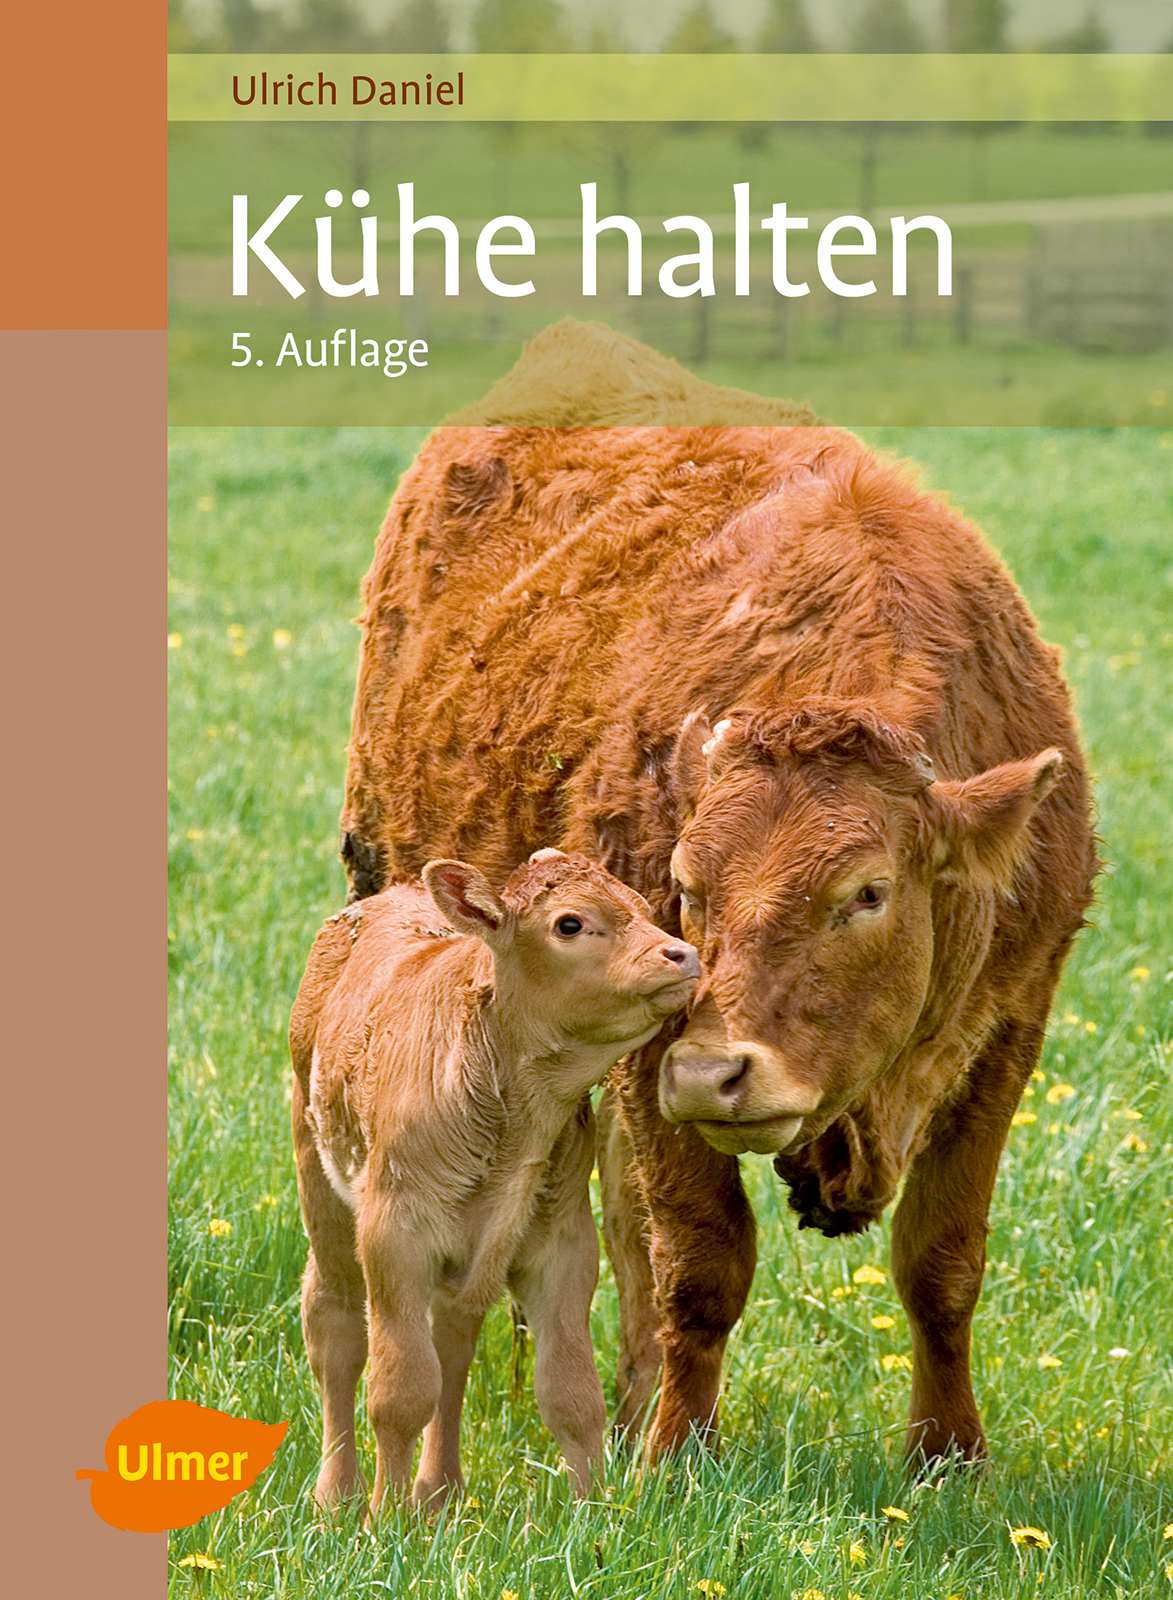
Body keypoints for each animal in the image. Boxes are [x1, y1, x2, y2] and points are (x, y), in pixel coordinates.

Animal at [290, 849, 700, 1511]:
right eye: (569, 924)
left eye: (642, 906)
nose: (683, 955)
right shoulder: (392, 1235)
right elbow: (401, 1390)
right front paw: (385, 1519)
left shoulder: (563, 1243)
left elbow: (572, 1394)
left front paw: (593, 1516)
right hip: (321, 1185)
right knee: (336, 1324)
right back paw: (338, 1498)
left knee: (453, 1339)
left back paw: (438, 1492)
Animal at [339, 425, 1098, 1471]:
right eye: (688, 886)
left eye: (867, 892)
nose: (713, 1075)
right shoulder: (653, 1049)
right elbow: (699, 1263)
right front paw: (676, 1455)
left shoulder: (1006, 1037)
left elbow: (941, 1263)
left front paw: (949, 1456)